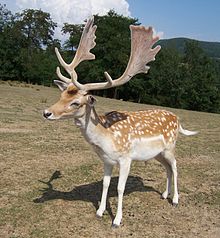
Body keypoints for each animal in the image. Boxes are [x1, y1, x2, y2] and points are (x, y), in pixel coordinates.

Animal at [43, 17, 198, 227]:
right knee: (167, 168)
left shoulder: (126, 158)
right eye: (62, 95)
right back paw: (164, 194)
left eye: (75, 102)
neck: (105, 139)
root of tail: (177, 119)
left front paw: (116, 220)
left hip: (170, 146)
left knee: (175, 166)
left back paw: (175, 199)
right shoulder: (106, 160)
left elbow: (120, 188)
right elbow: (106, 183)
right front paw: (99, 212)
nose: (46, 112)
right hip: (157, 153)